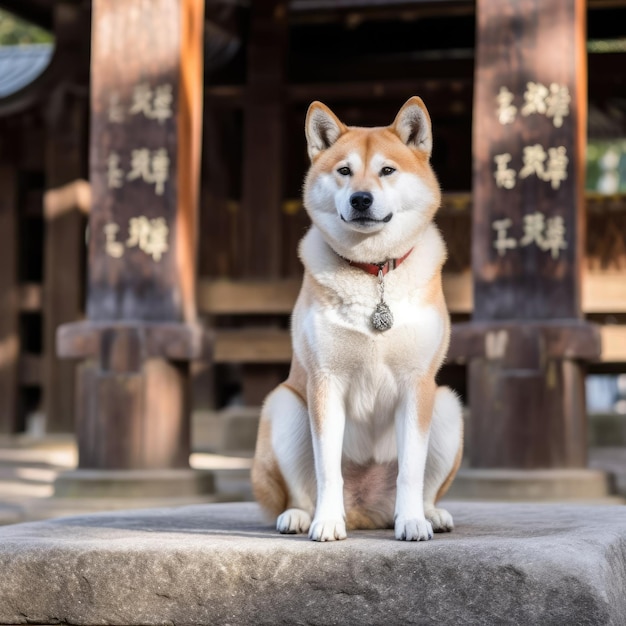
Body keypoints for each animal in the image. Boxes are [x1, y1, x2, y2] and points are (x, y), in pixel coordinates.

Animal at [251, 95, 460, 540]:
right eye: (344, 171)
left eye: (387, 170)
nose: (360, 199)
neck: (373, 271)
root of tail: (366, 512)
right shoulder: (325, 382)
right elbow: (327, 468)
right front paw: (327, 522)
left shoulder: (417, 384)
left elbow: (412, 470)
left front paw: (412, 521)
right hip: (284, 407)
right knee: (300, 490)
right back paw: (300, 516)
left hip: (447, 405)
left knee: (426, 486)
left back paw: (428, 514)